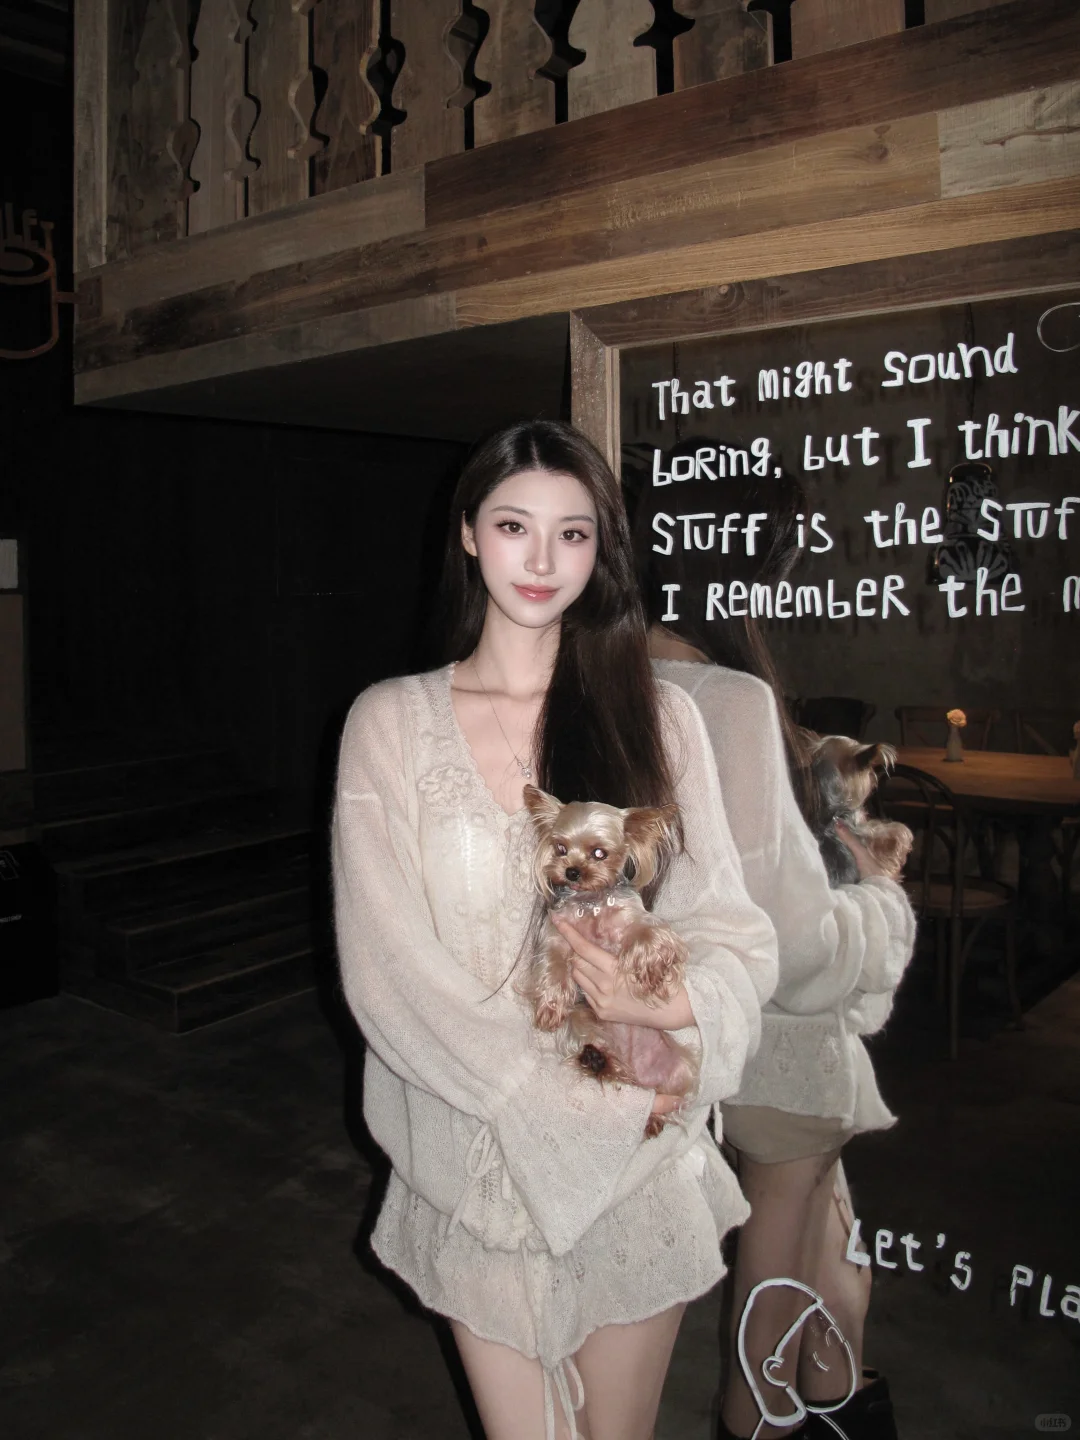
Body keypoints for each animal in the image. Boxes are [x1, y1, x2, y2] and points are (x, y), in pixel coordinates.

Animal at [521, 785, 697, 1136]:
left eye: (600, 853)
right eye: (560, 848)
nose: (572, 871)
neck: (591, 902)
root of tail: (640, 1074)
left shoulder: (632, 920)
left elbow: (648, 935)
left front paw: (652, 972)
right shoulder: (555, 935)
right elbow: (553, 964)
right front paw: (550, 1005)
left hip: (680, 1067)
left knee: (672, 1095)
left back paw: (652, 1117)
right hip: (583, 1021)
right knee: (605, 1059)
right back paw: (597, 1062)